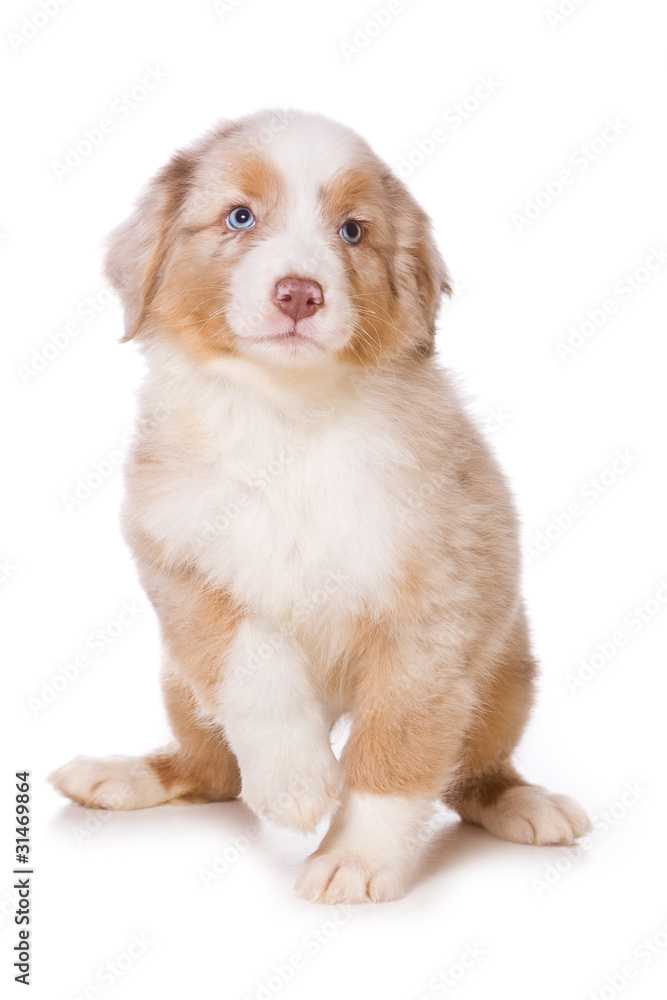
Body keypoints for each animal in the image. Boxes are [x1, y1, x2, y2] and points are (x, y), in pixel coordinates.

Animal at [49, 109, 588, 908]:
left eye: (352, 231)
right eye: (240, 217)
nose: (299, 293)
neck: (287, 417)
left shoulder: (434, 610)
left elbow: (398, 746)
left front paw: (357, 857)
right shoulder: (179, 564)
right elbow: (253, 663)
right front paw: (298, 783)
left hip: (505, 675)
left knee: (470, 775)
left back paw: (524, 802)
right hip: (178, 680)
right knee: (213, 772)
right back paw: (123, 775)